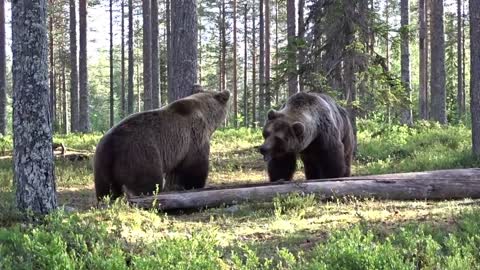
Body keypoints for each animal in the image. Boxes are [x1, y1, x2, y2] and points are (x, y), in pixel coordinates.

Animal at [94, 88, 231, 200]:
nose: (227, 92)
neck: (206, 116)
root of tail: (111, 145)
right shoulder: (194, 137)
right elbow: (195, 165)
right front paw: (194, 185)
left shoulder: (178, 149)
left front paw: (176, 185)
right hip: (140, 155)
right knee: (149, 182)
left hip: (101, 162)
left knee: (105, 188)